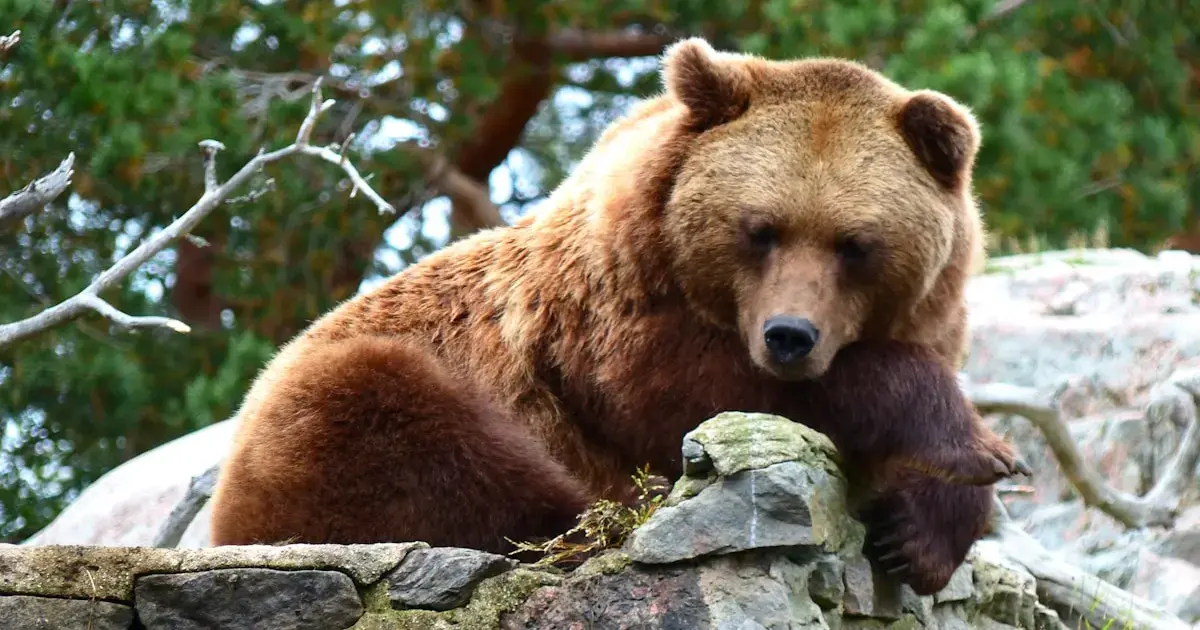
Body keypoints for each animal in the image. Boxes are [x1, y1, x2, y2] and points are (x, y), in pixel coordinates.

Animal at [208, 37, 1028, 596]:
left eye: (855, 244)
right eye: (759, 229)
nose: (789, 336)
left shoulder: (926, 316)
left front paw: (917, 532)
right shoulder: (605, 333)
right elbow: (701, 400)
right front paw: (975, 447)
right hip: (334, 417)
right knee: (405, 421)